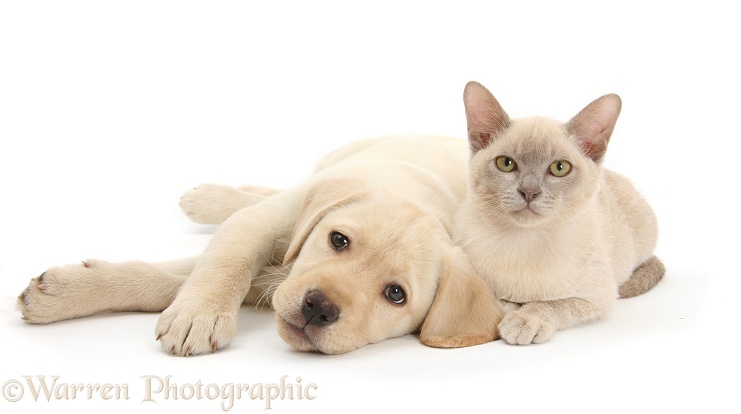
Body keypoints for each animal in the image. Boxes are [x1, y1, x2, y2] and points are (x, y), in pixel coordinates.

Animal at [17, 136, 502, 356]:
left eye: (396, 294)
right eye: (338, 240)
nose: (318, 308)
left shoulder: (275, 280)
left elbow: (169, 282)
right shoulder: (267, 226)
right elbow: (222, 261)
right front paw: (199, 314)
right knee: (264, 197)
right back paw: (209, 196)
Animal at [456, 81, 664, 346]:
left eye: (559, 168)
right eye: (506, 163)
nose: (529, 191)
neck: (524, 243)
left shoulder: (596, 298)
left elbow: (551, 305)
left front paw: (525, 319)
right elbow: (498, 299)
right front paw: (511, 307)